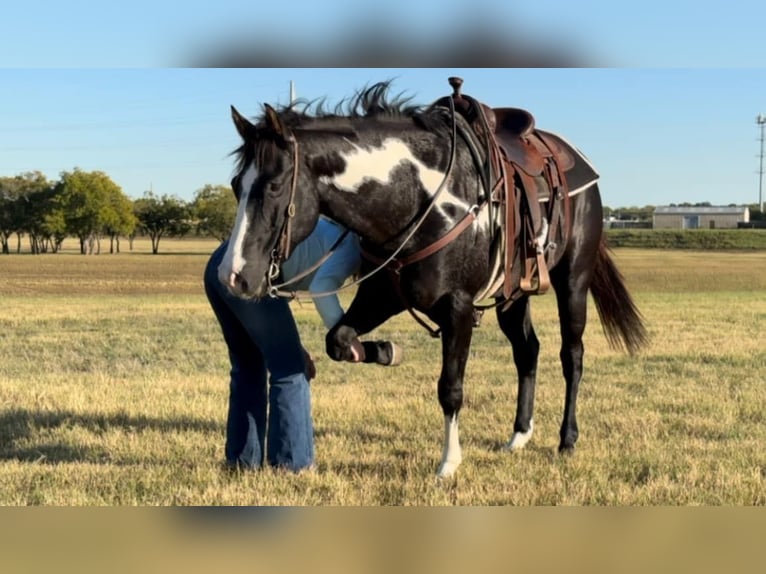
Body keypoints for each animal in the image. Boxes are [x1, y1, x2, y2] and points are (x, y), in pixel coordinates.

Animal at [218, 80, 647, 478]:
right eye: (236, 186)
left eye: (274, 185)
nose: (233, 276)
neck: (418, 198)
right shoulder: (381, 294)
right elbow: (338, 341)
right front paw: (383, 350)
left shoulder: (458, 308)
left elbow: (450, 389)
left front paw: (449, 463)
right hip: (513, 295)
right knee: (527, 351)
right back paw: (519, 435)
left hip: (573, 280)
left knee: (571, 356)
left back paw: (567, 439)